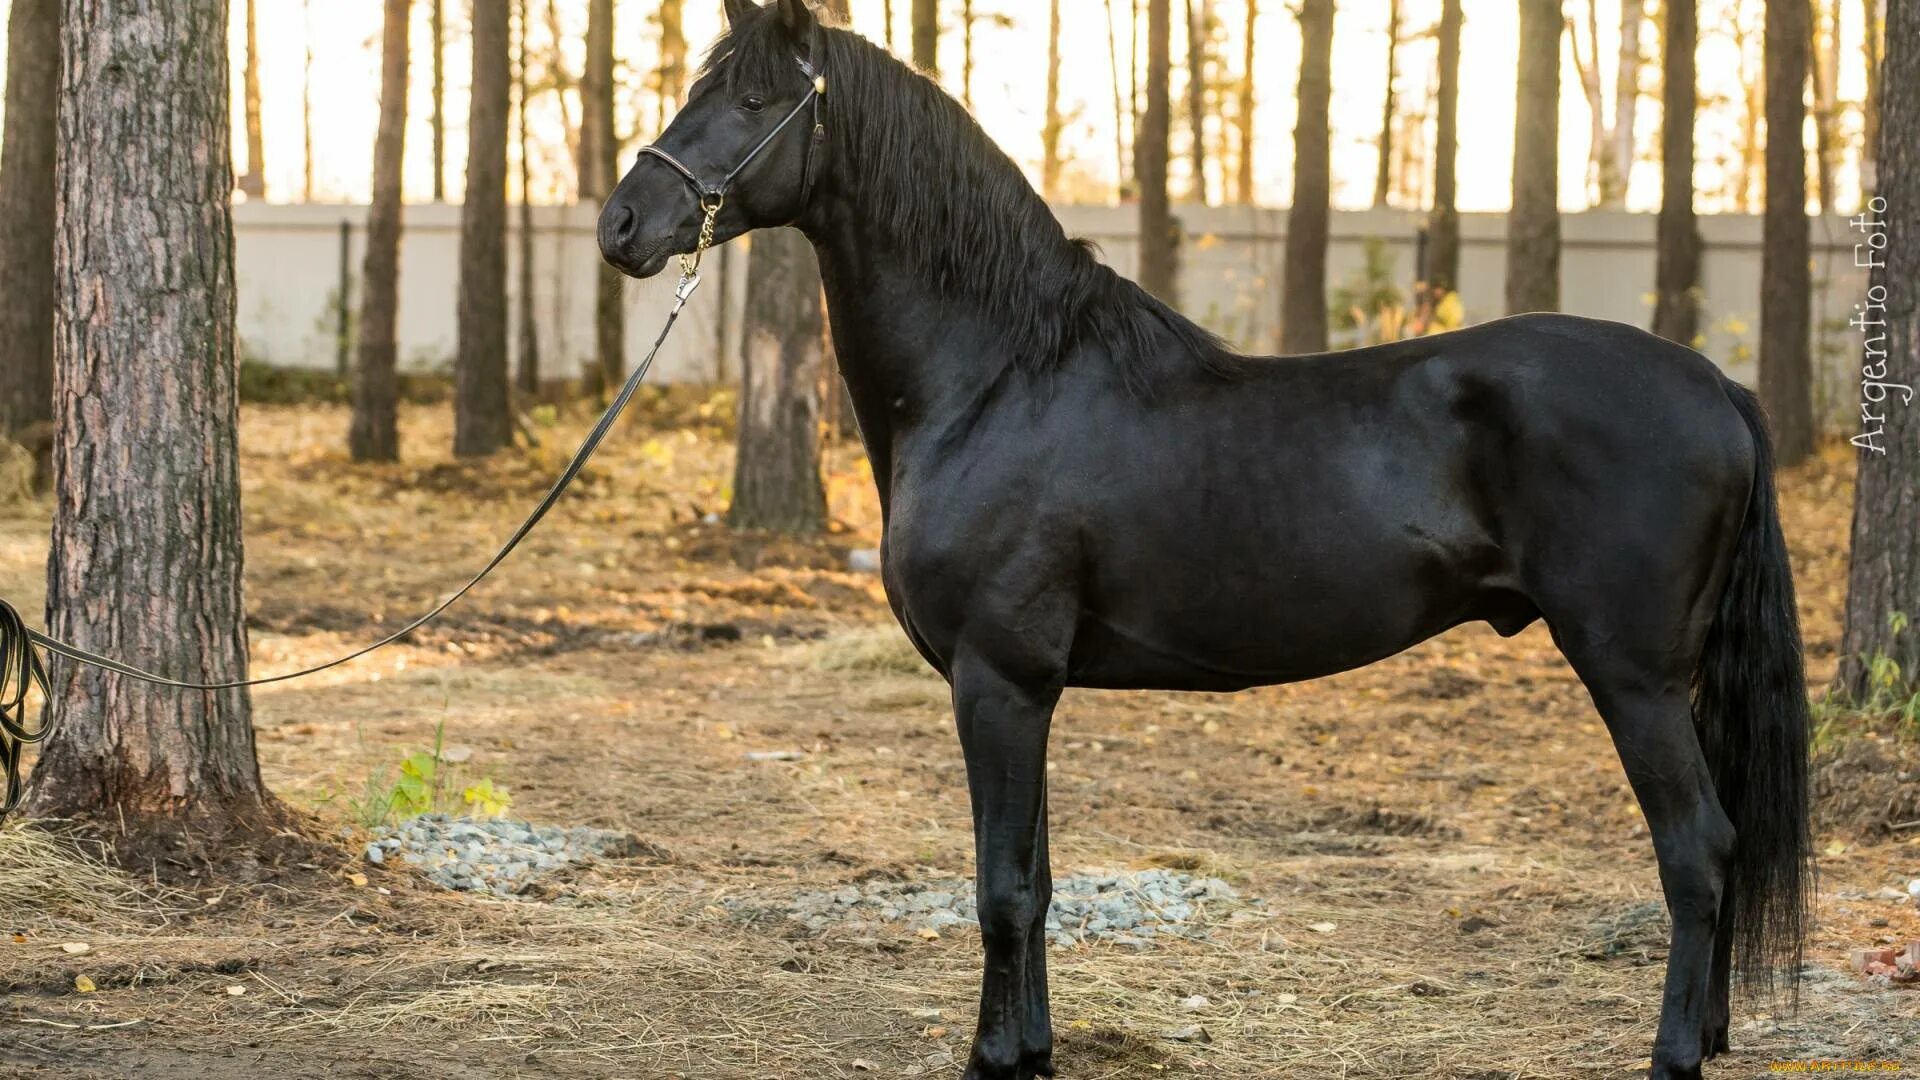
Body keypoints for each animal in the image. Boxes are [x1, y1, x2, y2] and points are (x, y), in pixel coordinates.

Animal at [599, 4, 1812, 1068]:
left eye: (753, 99)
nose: (622, 226)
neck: (998, 377)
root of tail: (1713, 383)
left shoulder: (997, 680)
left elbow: (999, 890)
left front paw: (992, 1058)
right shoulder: (1028, 688)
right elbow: (1038, 882)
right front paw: (1035, 1051)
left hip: (1631, 674)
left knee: (1698, 851)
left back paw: (1674, 1054)